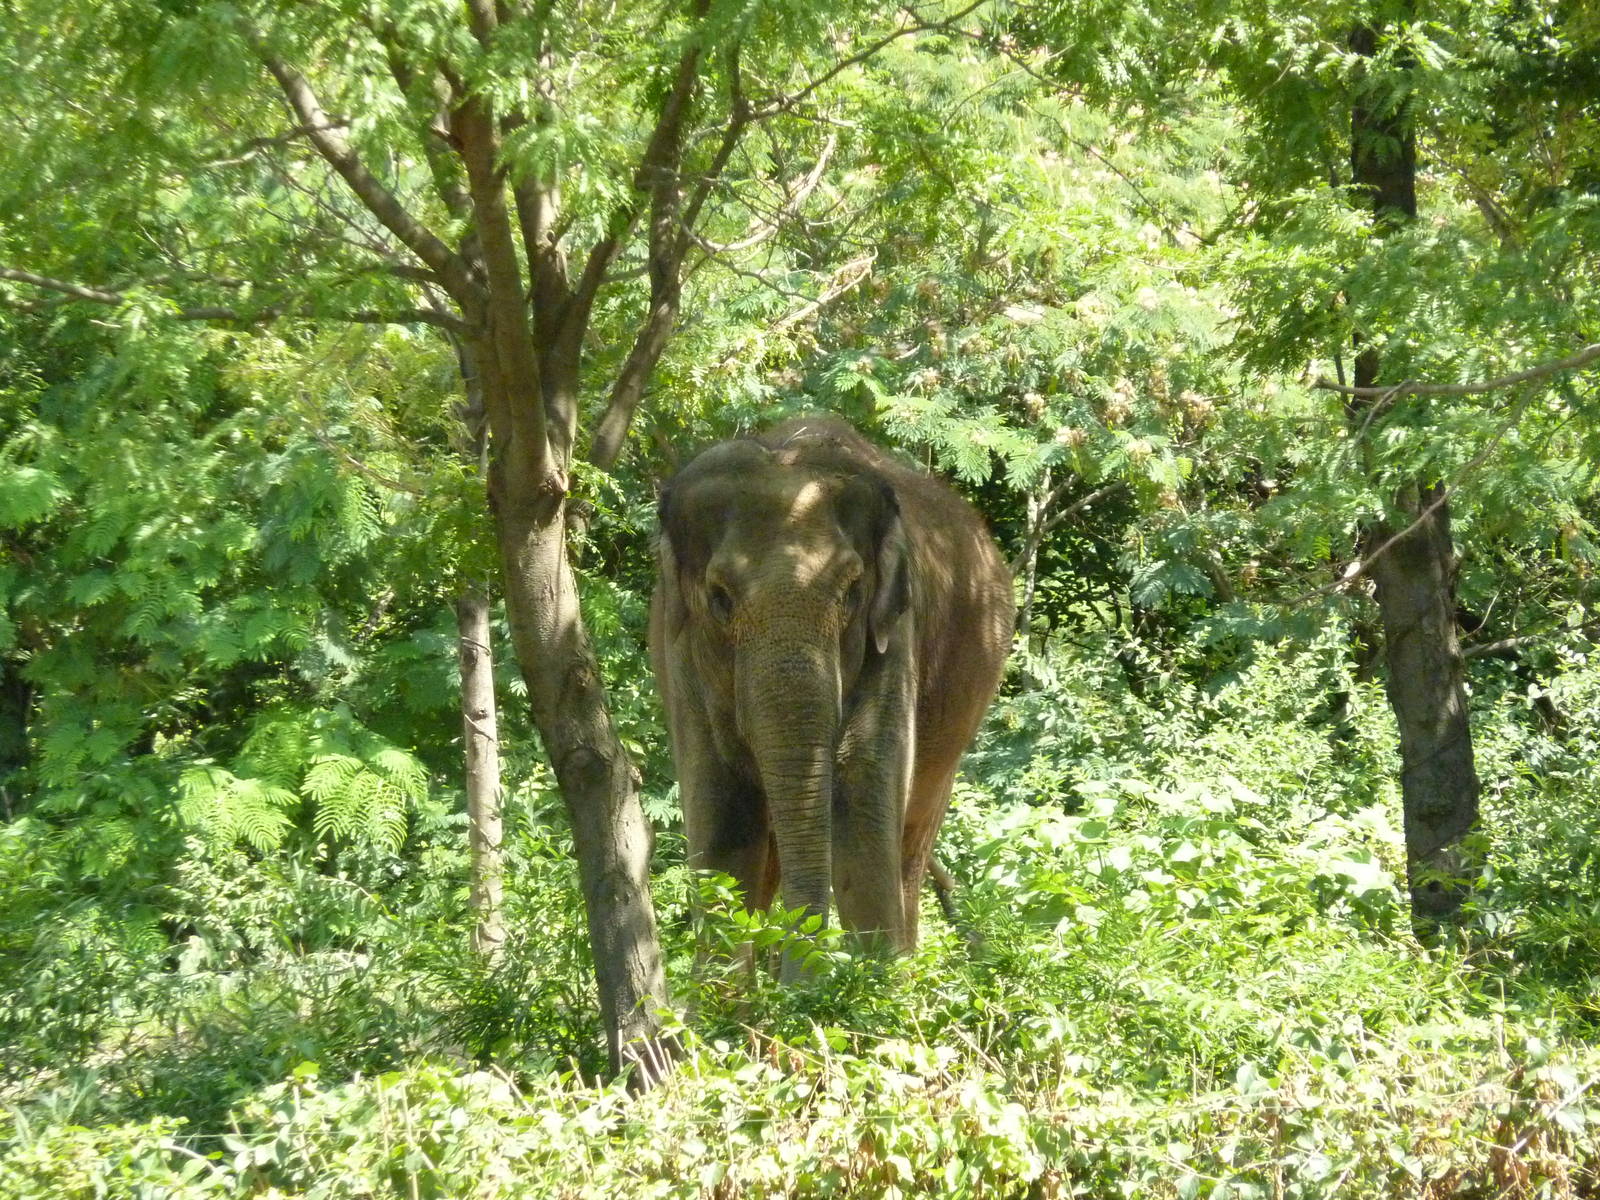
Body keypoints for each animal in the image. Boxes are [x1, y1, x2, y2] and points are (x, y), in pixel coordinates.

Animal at [650, 416, 1013, 971]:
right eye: (719, 598)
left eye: (850, 592)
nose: (807, 973)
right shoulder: (681, 655)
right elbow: (723, 820)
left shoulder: (895, 633)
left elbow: (861, 802)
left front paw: (871, 987)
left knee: (909, 843)